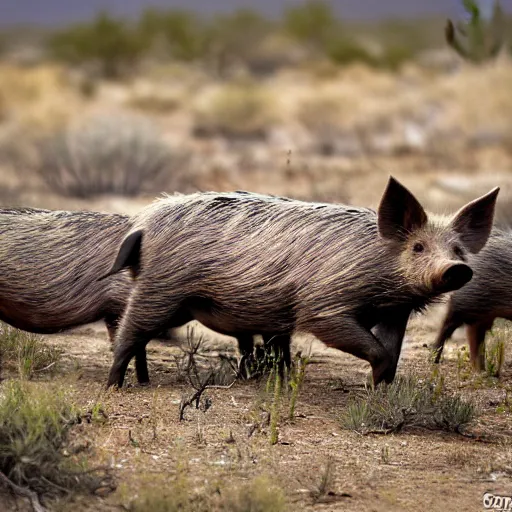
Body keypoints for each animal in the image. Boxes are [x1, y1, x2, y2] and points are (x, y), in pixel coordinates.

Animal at [102, 177, 498, 388]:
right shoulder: (323, 304)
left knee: (138, 337)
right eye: (418, 247)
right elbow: (365, 344)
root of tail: (141, 224)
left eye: (458, 249)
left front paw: (383, 390)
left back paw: (143, 381)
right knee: (128, 333)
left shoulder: (394, 311)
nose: (456, 269)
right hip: (162, 288)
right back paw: (114, 386)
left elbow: (392, 351)